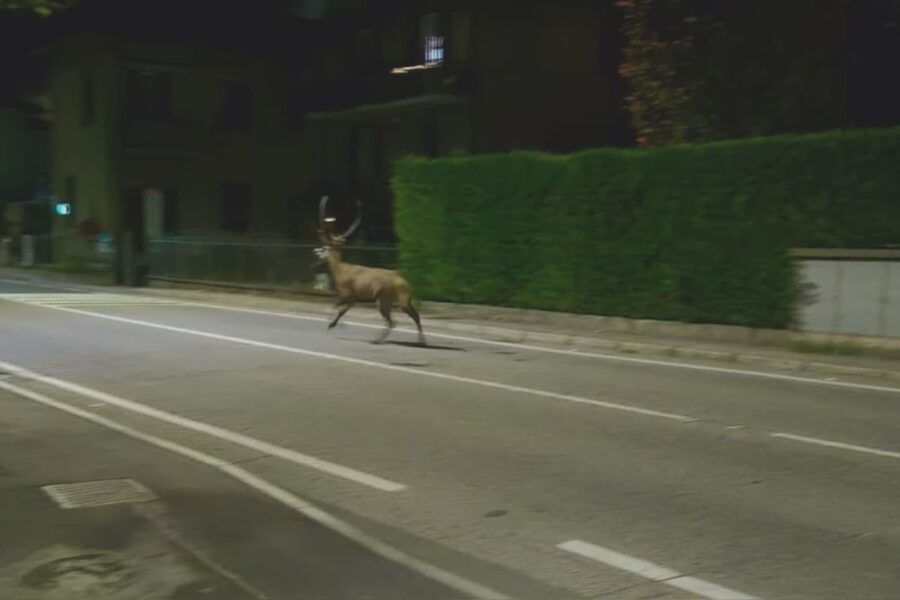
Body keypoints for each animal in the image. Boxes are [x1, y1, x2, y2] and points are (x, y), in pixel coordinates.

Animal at [316, 195, 426, 346]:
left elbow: (334, 306)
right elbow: (341, 311)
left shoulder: (346, 292)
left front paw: (331, 324)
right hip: (391, 299)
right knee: (406, 318)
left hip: (394, 299)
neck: (339, 270)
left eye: (324, 248)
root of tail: (405, 282)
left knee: (402, 319)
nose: (320, 258)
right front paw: (332, 324)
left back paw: (381, 340)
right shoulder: (353, 298)